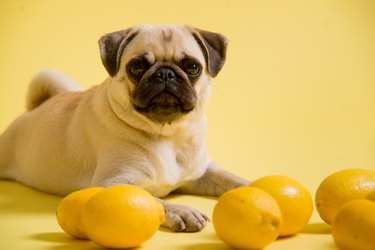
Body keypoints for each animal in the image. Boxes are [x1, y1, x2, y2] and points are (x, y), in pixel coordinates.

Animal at [0, 24, 250, 231]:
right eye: (136, 67)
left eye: (192, 67)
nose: (165, 73)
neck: (167, 134)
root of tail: (34, 108)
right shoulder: (111, 184)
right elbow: (152, 199)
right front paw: (182, 211)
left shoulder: (202, 171)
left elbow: (230, 178)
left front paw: (252, 186)